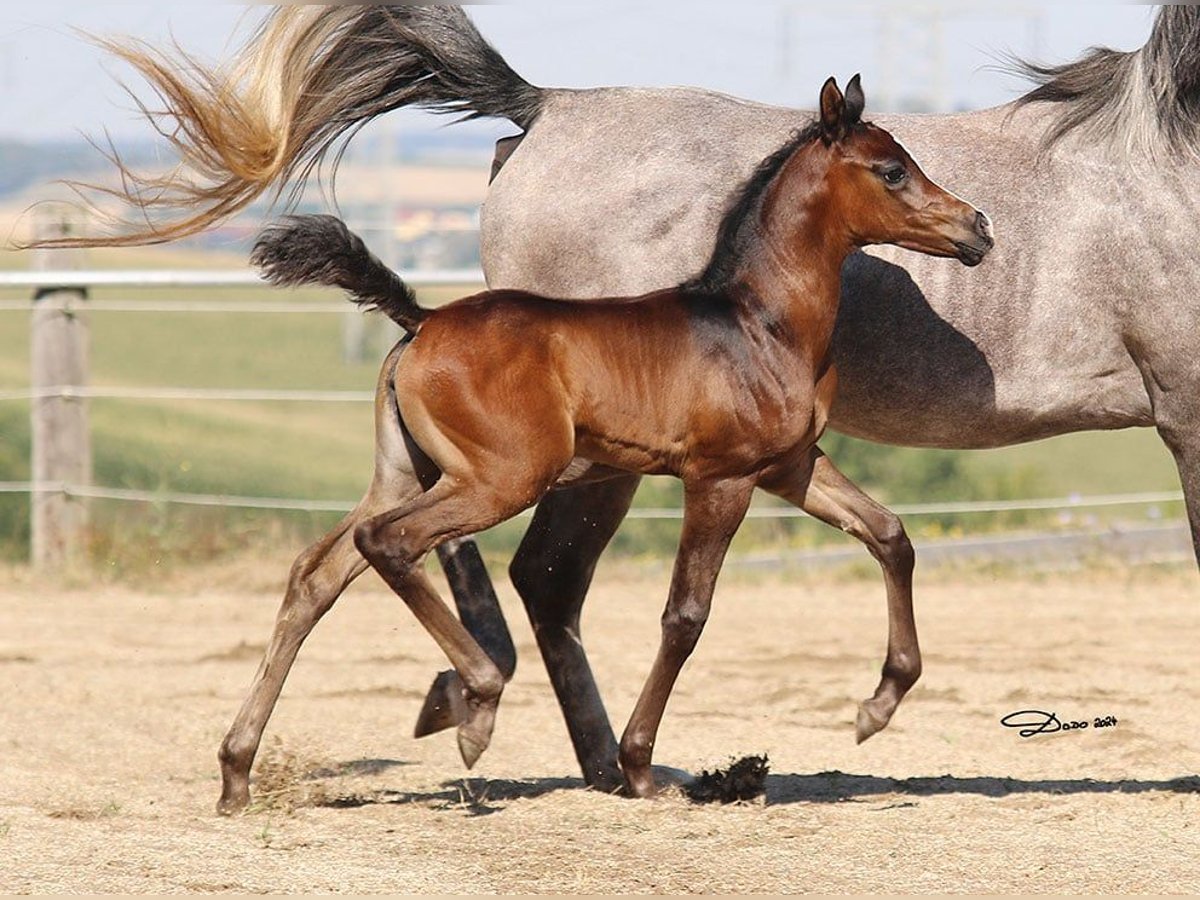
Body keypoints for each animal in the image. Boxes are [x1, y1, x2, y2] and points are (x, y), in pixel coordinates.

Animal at [226, 75, 993, 811]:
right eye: (892, 171)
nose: (978, 227)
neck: (760, 325)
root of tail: (423, 320)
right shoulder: (722, 478)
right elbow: (685, 615)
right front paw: (640, 765)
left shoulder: (791, 466)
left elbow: (890, 534)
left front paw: (878, 706)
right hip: (501, 480)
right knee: (387, 542)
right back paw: (478, 704)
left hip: (408, 474)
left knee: (317, 575)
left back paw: (236, 772)